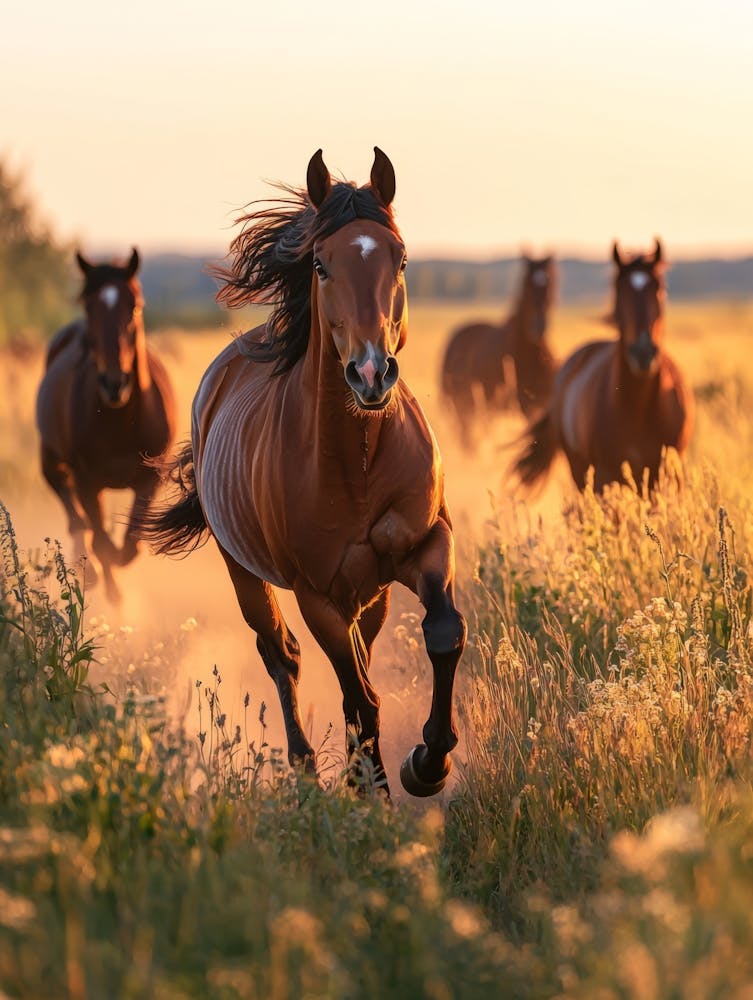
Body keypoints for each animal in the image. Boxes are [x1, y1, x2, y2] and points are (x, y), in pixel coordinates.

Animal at [36, 248, 176, 603]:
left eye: (135, 306)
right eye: (88, 306)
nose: (115, 383)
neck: (121, 421)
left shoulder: (149, 479)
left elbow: (129, 546)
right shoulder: (88, 482)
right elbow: (101, 541)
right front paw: (101, 581)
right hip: (51, 459)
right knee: (68, 502)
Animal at [140, 148, 466, 797]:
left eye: (400, 258)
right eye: (320, 264)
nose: (370, 373)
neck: (358, 461)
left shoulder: (427, 544)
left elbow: (443, 633)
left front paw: (426, 765)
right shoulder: (318, 595)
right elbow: (358, 698)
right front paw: (376, 793)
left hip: (371, 593)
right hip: (246, 571)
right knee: (282, 655)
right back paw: (307, 772)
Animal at [441, 255, 557, 448]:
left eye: (550, 283)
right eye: (526, 284)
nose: (538, 326)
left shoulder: (542, 402)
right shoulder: (525, 404)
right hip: (464, 408)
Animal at [514, 239, 694, 493]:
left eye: (659, 287)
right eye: (619, 289)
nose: (642, 352)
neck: (638, 407)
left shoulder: (664, 474)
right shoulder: (604, 477)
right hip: (579, 471)